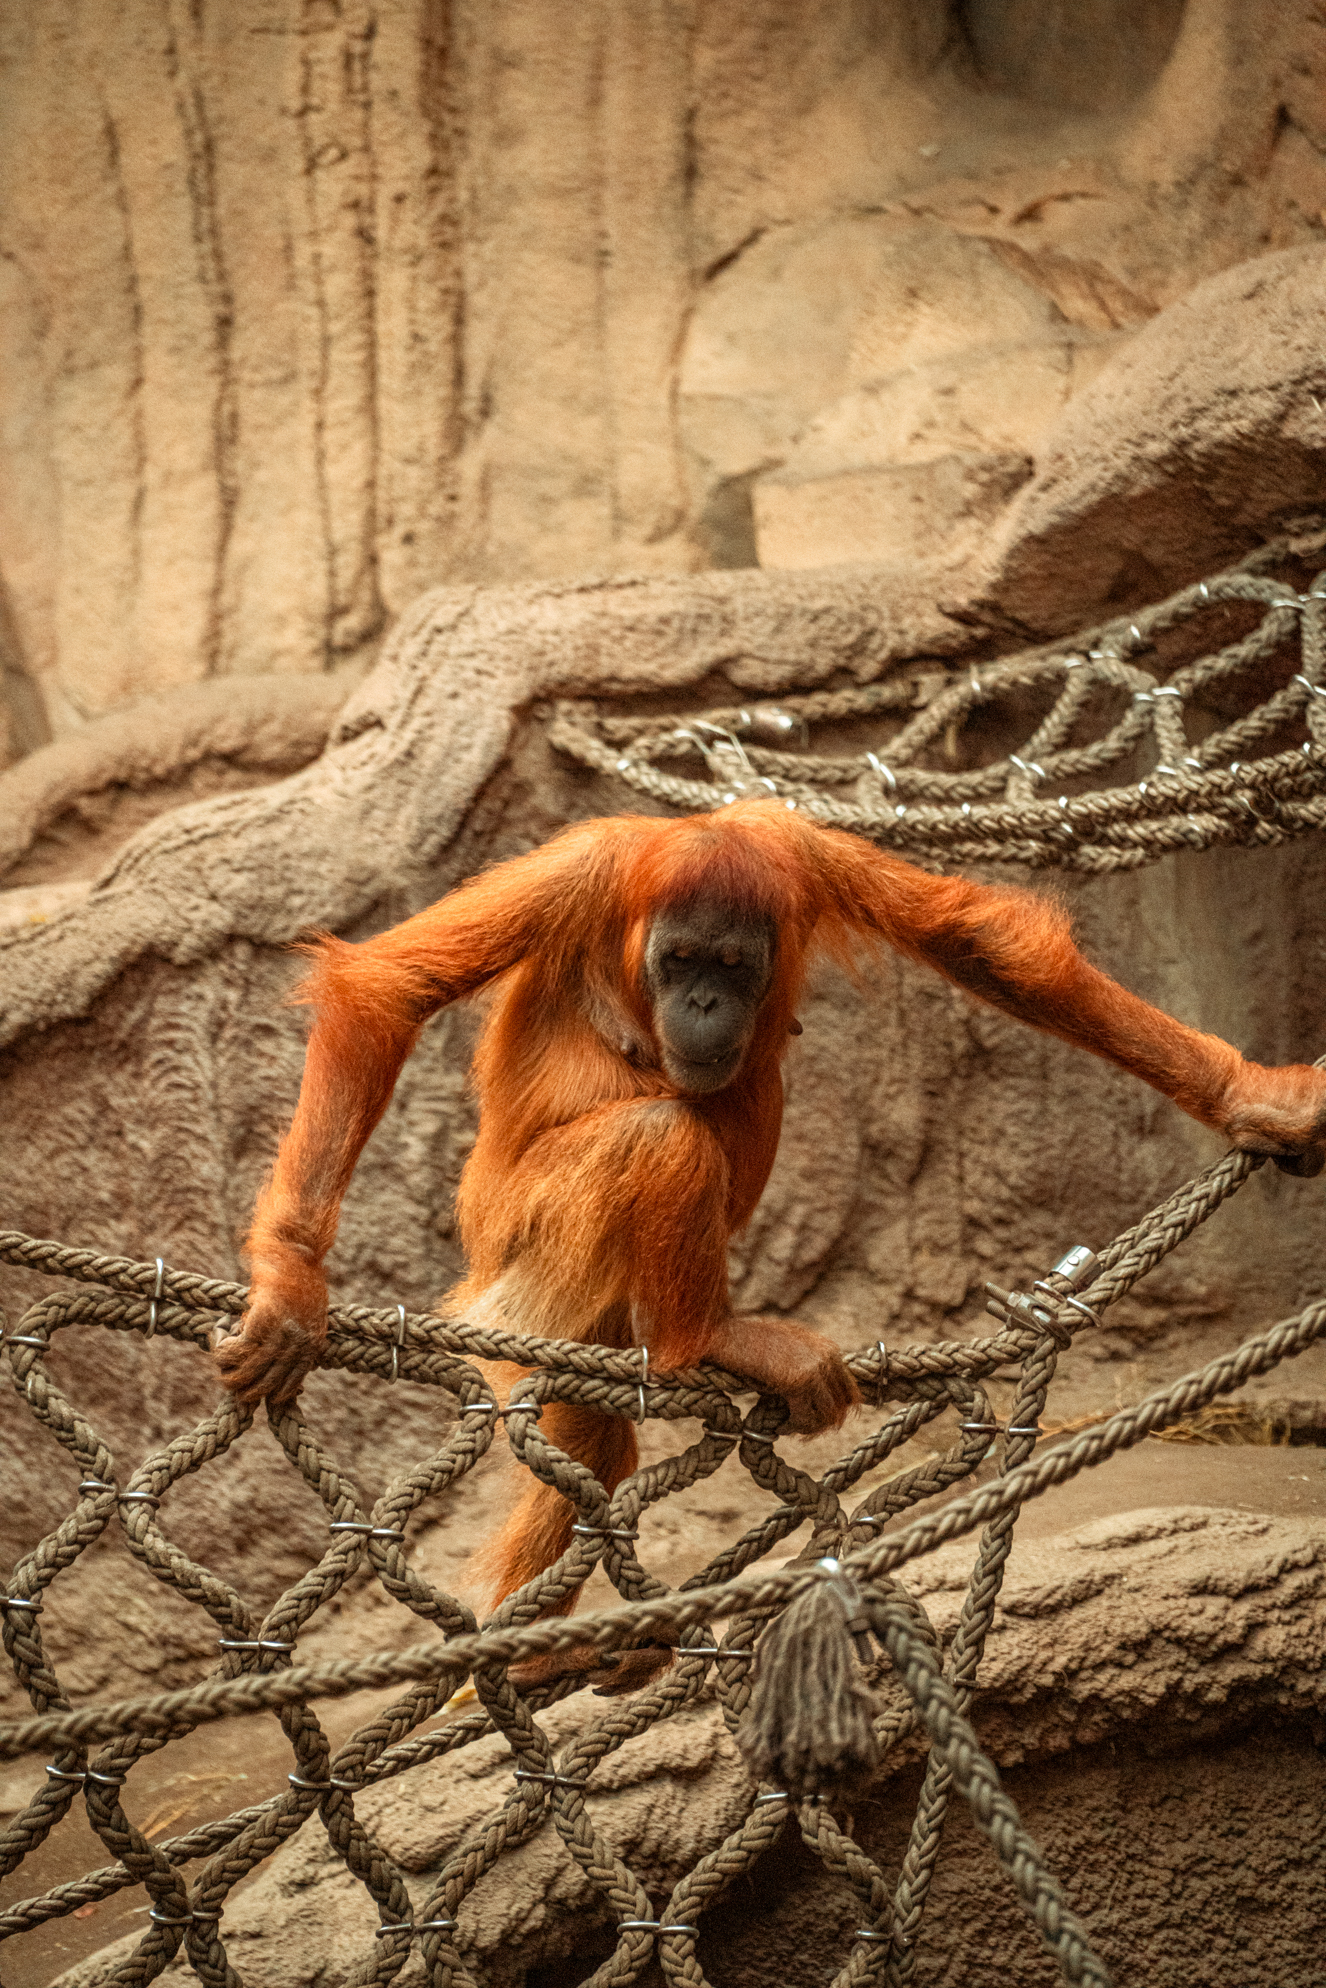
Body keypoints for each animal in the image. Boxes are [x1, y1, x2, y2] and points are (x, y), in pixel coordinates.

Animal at [216, 798, 1326, 1638]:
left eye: (735, 967)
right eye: (680, 962)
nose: (707, 1007)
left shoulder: (797, 850)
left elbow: (983, 942)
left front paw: (1252, 1098)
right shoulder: (578, 871)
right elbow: (387, 987)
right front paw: (289, 1280)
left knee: (595, 1428)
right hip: (520, 1241)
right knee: (662, 1135)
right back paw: (708, 1336)